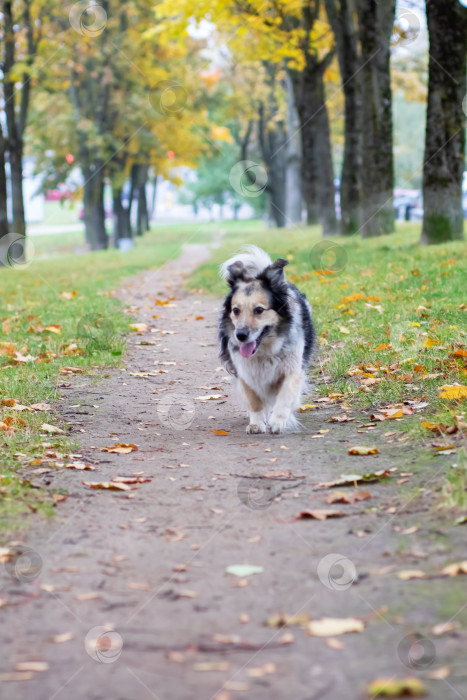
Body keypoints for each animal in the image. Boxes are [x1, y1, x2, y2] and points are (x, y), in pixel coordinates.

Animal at [218, 245, 314, 432]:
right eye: (236, 310)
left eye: (259, 310)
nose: (240, 336)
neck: (265, 350)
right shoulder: (246, 372)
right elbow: (254, 401)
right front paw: (256, 423)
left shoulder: (292, 368)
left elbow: (284, 396)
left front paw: (278, 421)